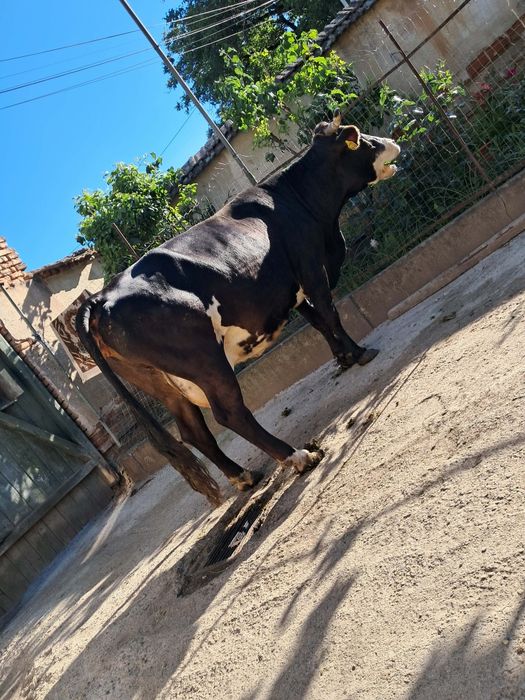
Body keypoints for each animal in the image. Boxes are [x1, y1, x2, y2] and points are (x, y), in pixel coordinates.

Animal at [76, 113, 400, 507]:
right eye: (364, 141)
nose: (393, 140)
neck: (300, 201)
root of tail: (101, 297)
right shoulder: (311, 268)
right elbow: (329, 314)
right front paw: (360, 352)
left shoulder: (288, 290)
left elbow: (318, 322)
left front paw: (343, 358)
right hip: (205, 360)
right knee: (229, 413)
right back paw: (298, 456)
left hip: (160, 381)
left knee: (193, 431)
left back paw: (245, 477)